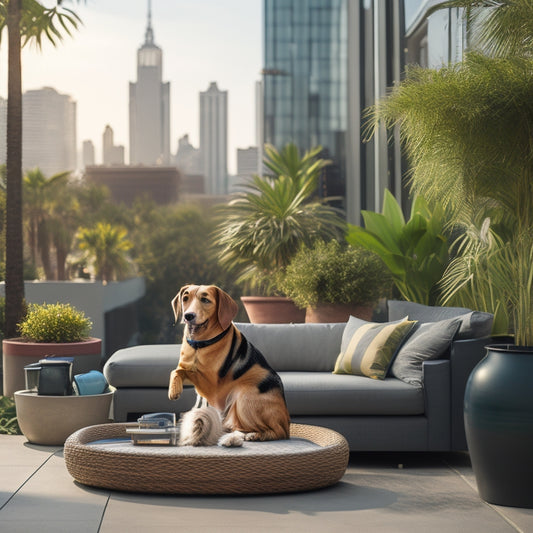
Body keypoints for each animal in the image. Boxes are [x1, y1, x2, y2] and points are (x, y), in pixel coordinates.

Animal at [167, 282, 288, 440]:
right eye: (185, 298)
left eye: (205, 300)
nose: (188, 316)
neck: (199, 345)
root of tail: (288, 423)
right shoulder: (189, 370)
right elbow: (176, 370)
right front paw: (174, 390)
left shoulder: (212, 387)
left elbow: (184, 371)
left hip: (243, 397)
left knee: (278, 431)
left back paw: (255, 435)